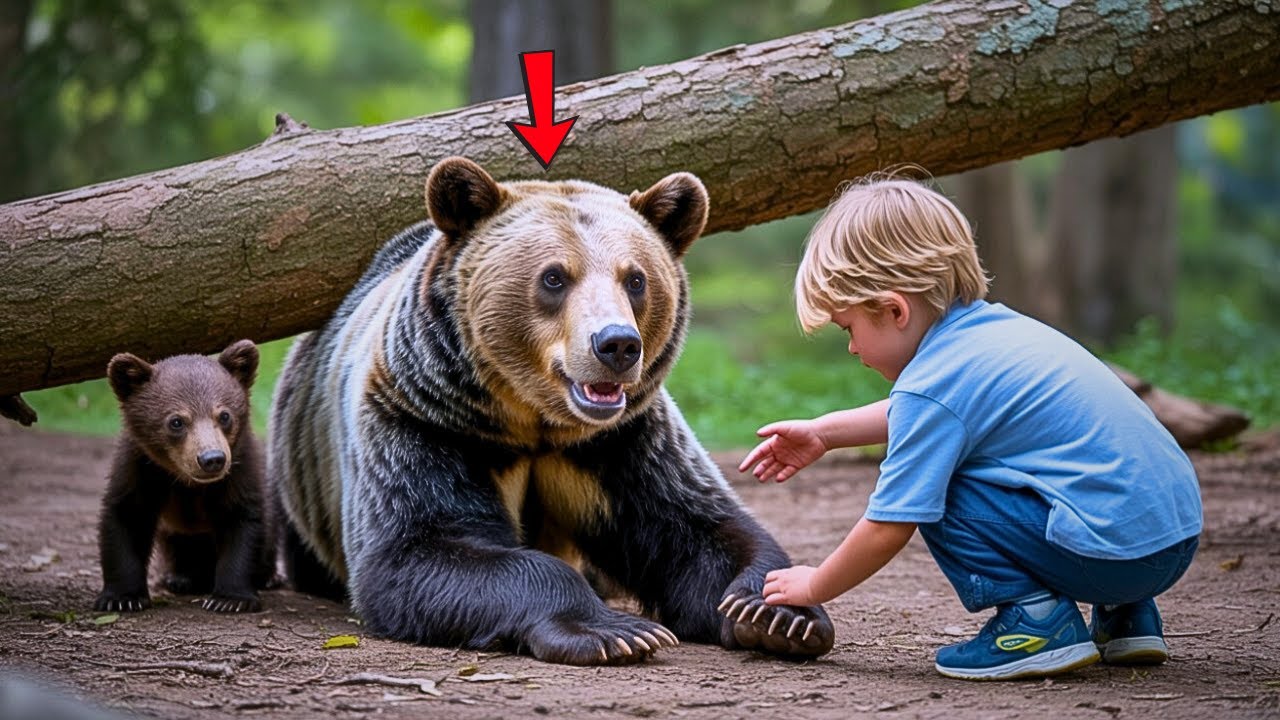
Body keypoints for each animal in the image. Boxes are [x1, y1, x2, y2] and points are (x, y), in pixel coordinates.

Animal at [95, 340, 275, 613]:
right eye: (176, 421)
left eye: (224, 415)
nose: (212, 459)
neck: (186, 483)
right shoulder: (141, 468)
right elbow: (126, 517)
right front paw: (122, 597)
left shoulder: (240, 471)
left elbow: (242, 522)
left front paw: (230, 599)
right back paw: (181, 578)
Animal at [268, 157, 835, 664]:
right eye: (555, 277)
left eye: (635, 279)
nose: (617, 344)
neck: (534, 424)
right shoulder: (424, 422)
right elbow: (418, 546)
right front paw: (618, 632)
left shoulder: (621, 443)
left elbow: (700, 527)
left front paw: (776, 612)